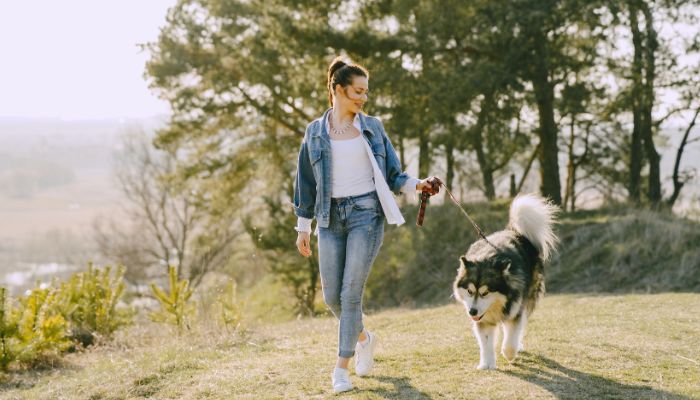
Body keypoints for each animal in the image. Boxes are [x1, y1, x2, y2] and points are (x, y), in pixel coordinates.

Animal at [454, 194, 556, 368]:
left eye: (485, 293)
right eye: (469, 291)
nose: (472, 312)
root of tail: (514, 232)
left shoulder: (515, 310)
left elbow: (512, 334)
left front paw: (509, 353)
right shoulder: (484, 319)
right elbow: (486, 342)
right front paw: (487, 364)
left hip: (528, 297)